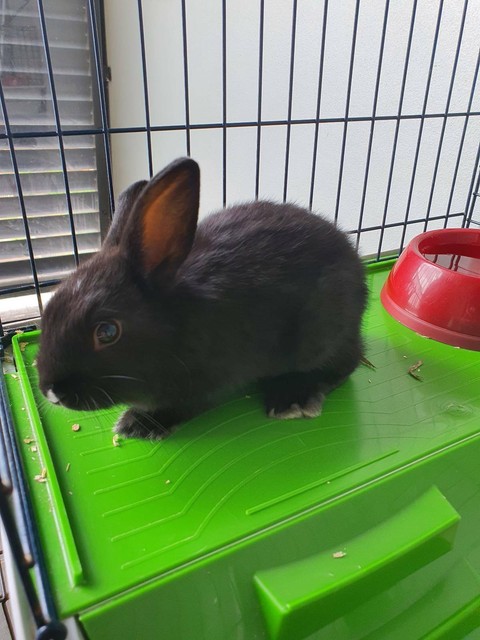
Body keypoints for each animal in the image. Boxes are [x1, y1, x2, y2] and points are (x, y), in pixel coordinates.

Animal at [37, 157, 367, 440]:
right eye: (49, 308)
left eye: (107, 331)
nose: (51, 390)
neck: (173, 329)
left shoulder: (206, 382)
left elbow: (183, 406)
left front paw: (139, 424)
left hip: (321, 333)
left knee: (344, 364)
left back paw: (292, 398)